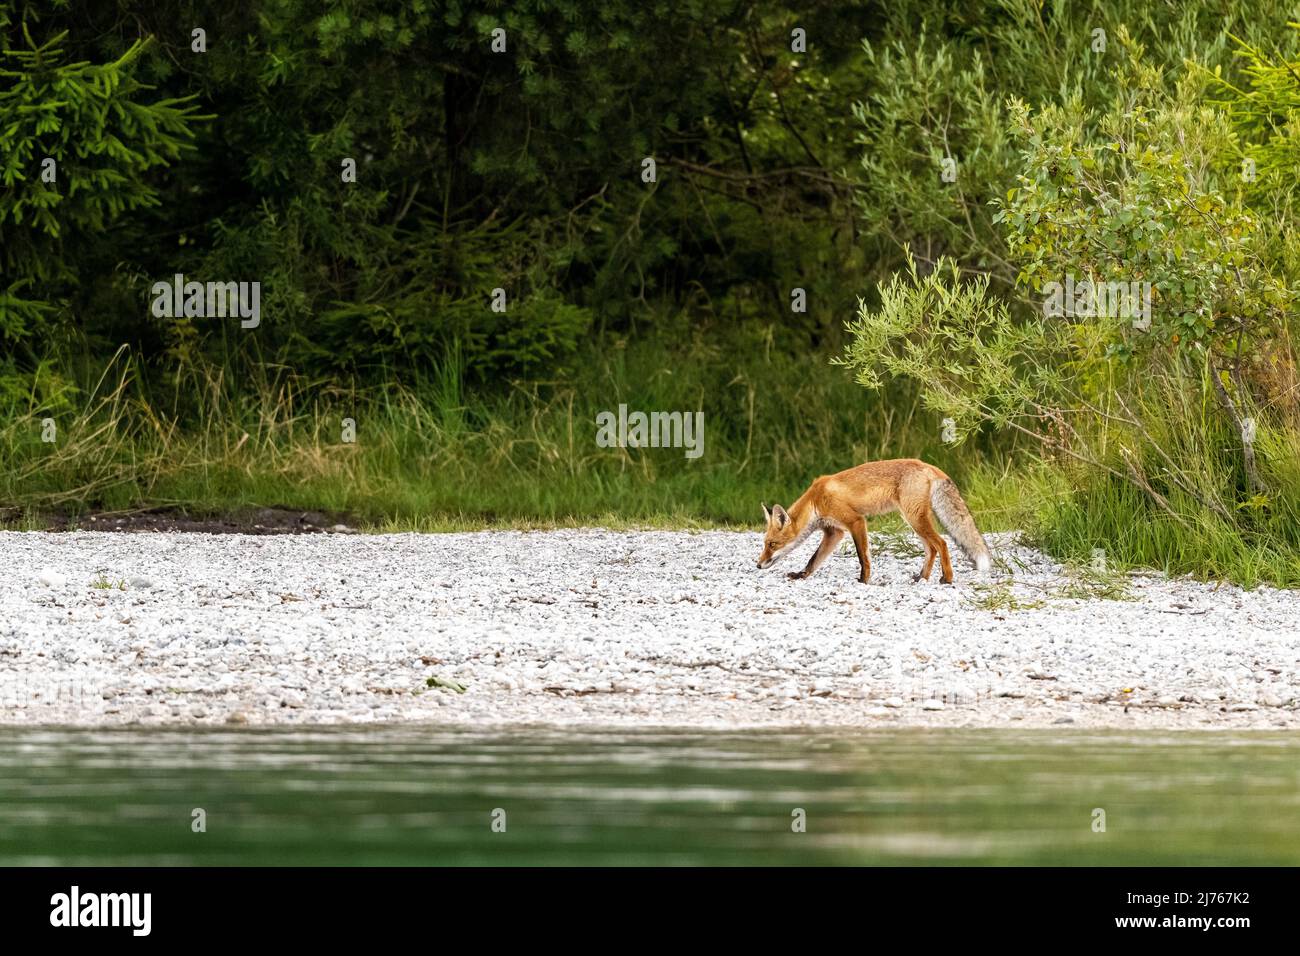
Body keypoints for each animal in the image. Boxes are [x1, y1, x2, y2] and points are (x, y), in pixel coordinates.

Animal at [759, 457, 987, 582]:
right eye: (765, 544)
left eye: (771, 544)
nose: (758, 565)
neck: (815, 501)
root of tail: (927, 465)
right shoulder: (834, 532)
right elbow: (814, 559)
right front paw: (802, 575)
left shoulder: (855, 521)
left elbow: (863, 557)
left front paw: (864, 579)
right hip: (912, 519)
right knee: (931, 549)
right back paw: (922, 578)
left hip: (915, 518)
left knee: (942, 543)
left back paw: (947, 579)